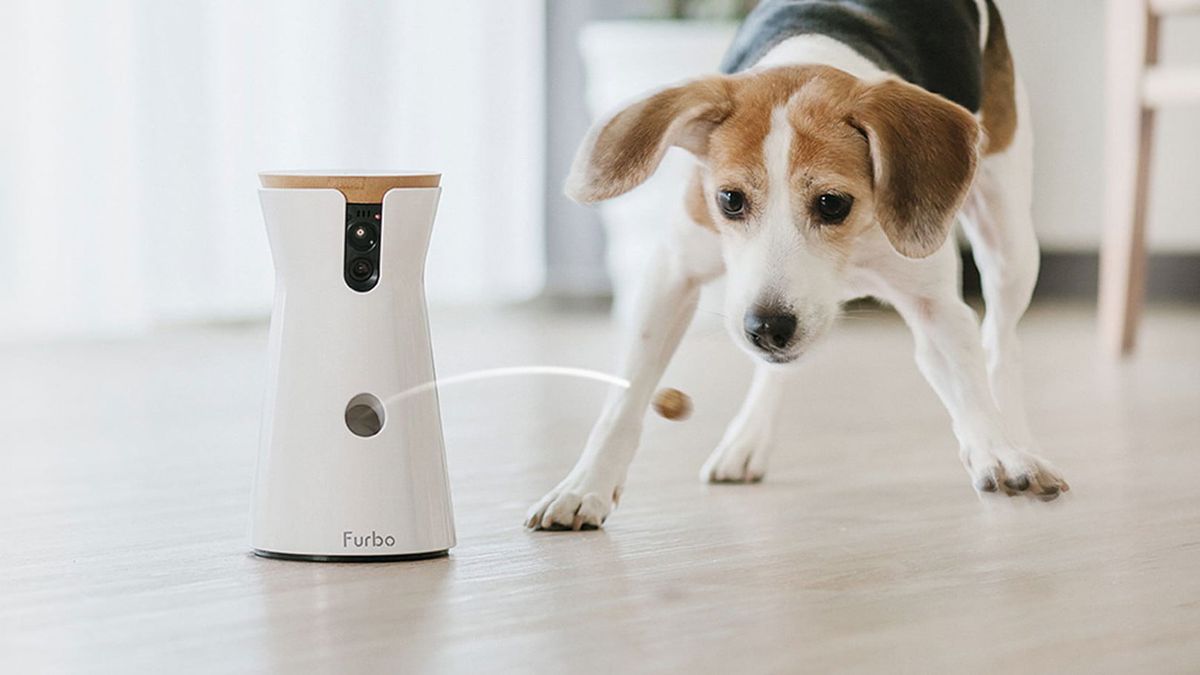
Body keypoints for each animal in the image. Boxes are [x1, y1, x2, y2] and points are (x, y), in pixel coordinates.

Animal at [525, 1, 1070, 530]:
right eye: (729, 200)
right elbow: (625, 398)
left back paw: (1016, 436)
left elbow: (969, 383)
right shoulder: (673, 274)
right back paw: (747, 439)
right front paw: (585, 486)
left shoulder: (935, 305)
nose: (767, 329)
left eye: (832, 203)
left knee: (1001, 345)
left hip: (1010, 242)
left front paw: (999, 452)